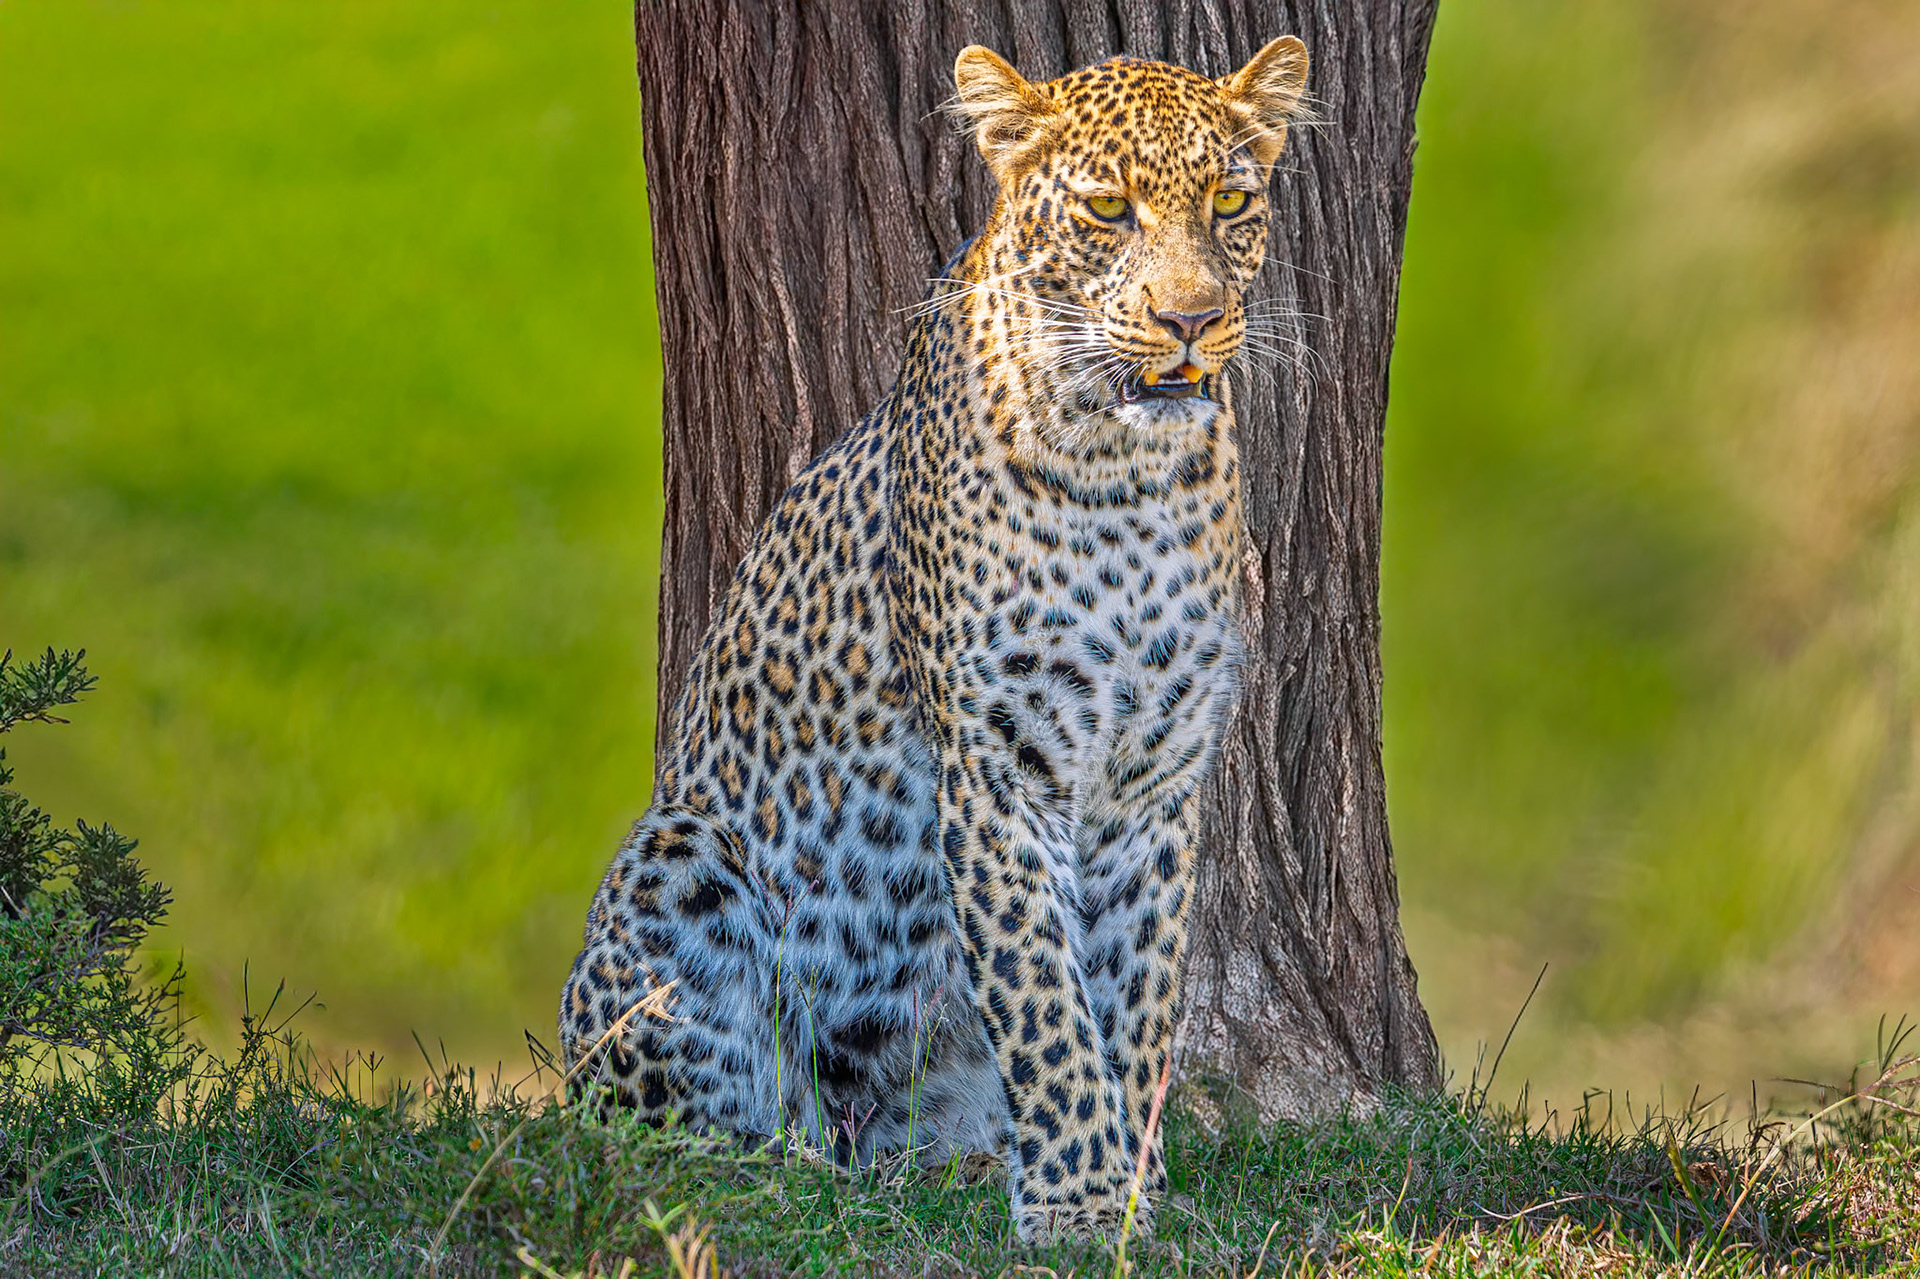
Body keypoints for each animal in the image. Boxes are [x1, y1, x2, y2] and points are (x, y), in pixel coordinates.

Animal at [560, 35, 1311, 1243]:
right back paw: (789, 1160)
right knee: (677, 1133)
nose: (1192, 320)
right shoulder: (1001, 768)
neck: (1128, 477)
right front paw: (1080, 1203)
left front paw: (1131, 1188)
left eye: (1231, 202)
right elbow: (1048, 1004)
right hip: (678, 856)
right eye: (1109, 209)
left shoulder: (1153, 780)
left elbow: (1135, 1002)